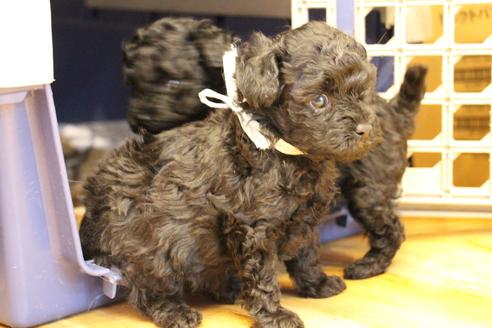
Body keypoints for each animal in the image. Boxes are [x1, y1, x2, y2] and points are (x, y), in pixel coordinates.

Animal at [80, 21, 384, 326]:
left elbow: (306, 254)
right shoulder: (255, 228)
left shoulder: (303, 220)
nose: (365, 129)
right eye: (320, 100)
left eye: (363, 92)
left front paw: (318, 285)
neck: (286, 151)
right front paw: (274, 315)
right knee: (149, 287)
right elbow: (264, 277)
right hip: (152, 243)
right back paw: (176, 312)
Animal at [122, 18, 426, 280]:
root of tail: (396, 112)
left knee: (391, 228)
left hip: (369, 188)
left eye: (173, 82)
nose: (140, 119)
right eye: (133, 84)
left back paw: (368, 266)